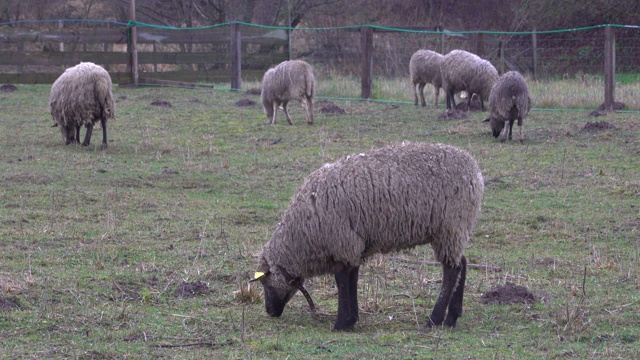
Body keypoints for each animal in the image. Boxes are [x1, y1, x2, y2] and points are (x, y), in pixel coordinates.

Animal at [252, 142, 482, 330]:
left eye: (265, 283)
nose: (269, 312)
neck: (301, 237)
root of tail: (475, 171)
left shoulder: (341, 242)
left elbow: (342, 280)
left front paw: (341, 323)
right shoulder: (352, 245)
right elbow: (352, 277)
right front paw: (351, 319)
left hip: (450, 226)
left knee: (451, 271)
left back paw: (434, 320)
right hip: (454, 231)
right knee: (461, 263)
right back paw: (452, 317)